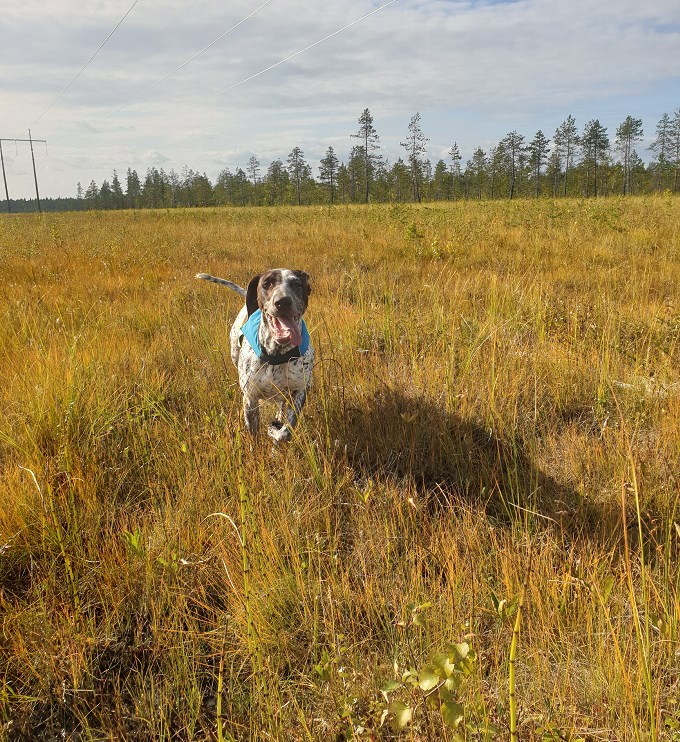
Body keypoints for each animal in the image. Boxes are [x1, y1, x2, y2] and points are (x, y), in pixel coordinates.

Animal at [195, 270, 314, 442]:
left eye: (297, 284)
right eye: (267, 284)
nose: (282, 301)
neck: (277, 354)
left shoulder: (299, 391)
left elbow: (286, 431)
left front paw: (275, 431)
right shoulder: (250, 398)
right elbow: (254, 435)